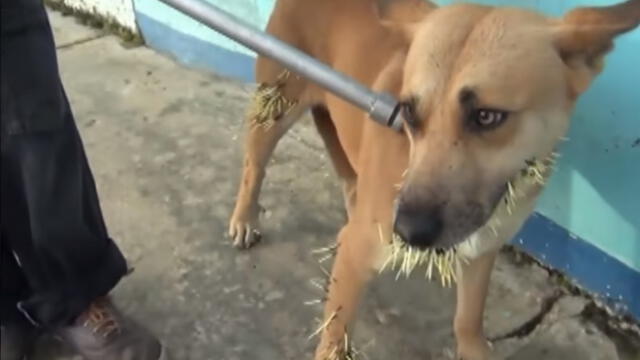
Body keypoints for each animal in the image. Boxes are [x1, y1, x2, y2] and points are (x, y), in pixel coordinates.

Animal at [229, 1, 640, 358]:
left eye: (488, 116)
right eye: (408, 112)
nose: (408, 232)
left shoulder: (484, 249)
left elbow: (469, 320)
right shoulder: (361, 252)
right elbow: (335, 333)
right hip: (275, 105)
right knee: (254, 167)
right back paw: (244, 219)